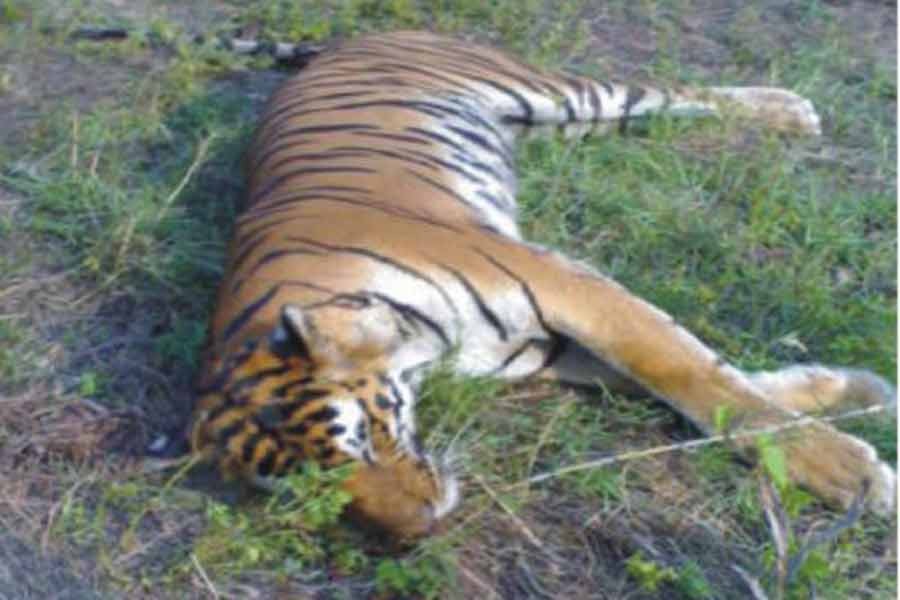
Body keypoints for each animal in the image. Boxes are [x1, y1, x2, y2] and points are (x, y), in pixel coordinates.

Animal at [189, 30, 896, 539]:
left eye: (362, 437)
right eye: (312, 490)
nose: (421, 532)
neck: (419, 353)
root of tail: (347, 39)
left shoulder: (562, 283)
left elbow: (696, 378)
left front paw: (853, 473)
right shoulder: (537, 348)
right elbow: (707, 380)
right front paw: (853, 391)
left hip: (557, 91)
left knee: (675, 91)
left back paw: (791, 111)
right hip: (565, 122)